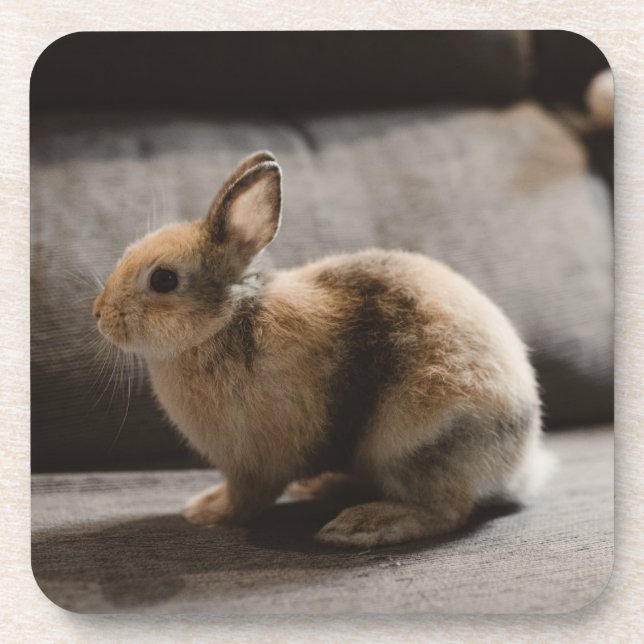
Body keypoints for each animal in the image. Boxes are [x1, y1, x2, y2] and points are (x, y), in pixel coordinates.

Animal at [93, 150, 552, 548]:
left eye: (164, 280)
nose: (99, 314)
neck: (227, 322)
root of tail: (522, 462)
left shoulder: (255, 463)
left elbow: (246, 498)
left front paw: (206, 512)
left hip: (416, 442)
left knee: (447, 511)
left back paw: (361, 525)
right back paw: (324, 487)